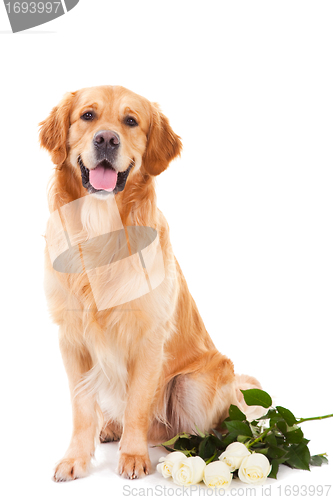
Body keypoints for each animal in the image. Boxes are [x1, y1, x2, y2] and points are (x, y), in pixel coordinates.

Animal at [39, 85, 262, 480]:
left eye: (131, 121)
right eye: (87, 116)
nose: (107, 139)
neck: (101, 230)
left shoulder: (149, 339)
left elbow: (138, 404)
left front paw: (133, 455)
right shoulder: (71, 339)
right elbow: (82, 408)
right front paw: (75, 458)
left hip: (194, 383)